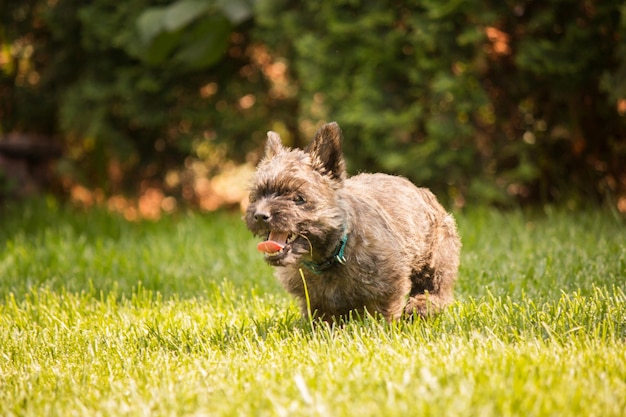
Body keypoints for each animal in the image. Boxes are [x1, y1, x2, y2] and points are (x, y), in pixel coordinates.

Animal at [244, 122, 458, 320]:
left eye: (298, 198)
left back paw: (422, 306)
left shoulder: (389, 286)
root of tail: (422, 191)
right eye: (258, 195)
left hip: (437, 254)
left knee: (436, 284)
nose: (260, 215)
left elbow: (383, 313)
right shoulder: (314, 300)